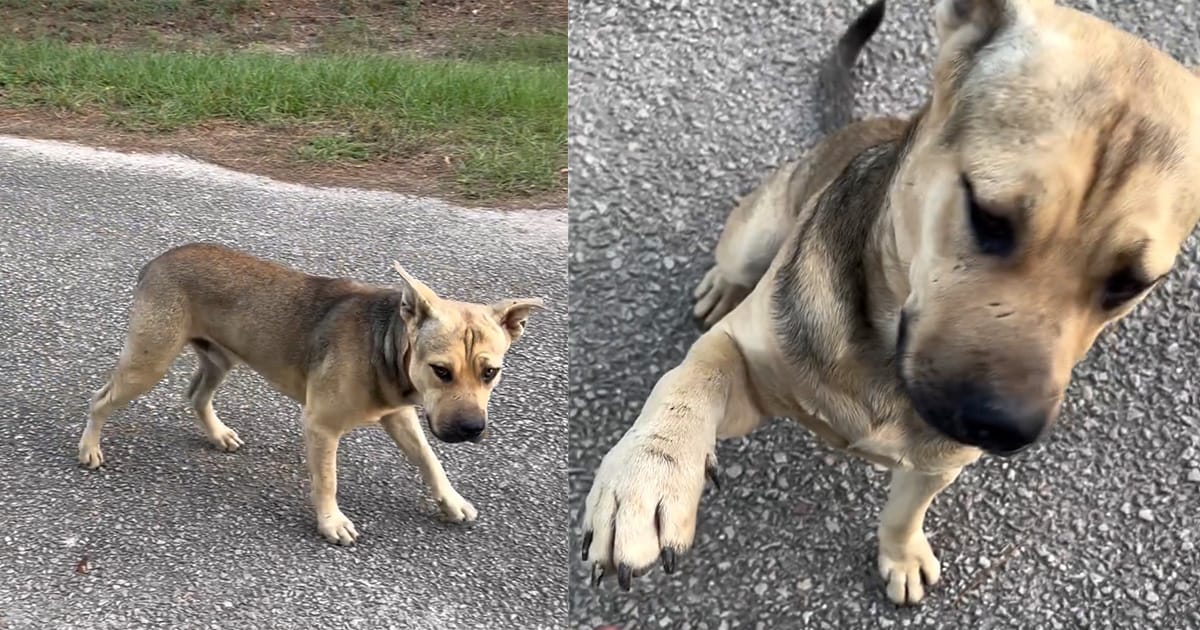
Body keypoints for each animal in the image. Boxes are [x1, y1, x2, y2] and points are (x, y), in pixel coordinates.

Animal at [84, 243, 549, 542]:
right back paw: (89, 447)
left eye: (491, 372)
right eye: (441, 371)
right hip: (149, 362)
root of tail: (158, 260)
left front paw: (450, 502)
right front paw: (330, 522)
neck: (387, 342)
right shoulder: (322, 426)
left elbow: (430, 461)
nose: (471, 429)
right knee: (100, 398)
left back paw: (217, 434)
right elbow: (328, 479)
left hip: (220, 357)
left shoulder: (400, 415)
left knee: (197, 395)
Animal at [578, 0, 1200, 604]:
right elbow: (692, 377)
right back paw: (721, 287)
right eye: (987, 215)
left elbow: (904, 513)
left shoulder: (936, 462)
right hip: (751, 236)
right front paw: (647, 475)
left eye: (1130, 284)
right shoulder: (744, 367)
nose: (1003, 428)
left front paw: (901, 556)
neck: (881, 352)